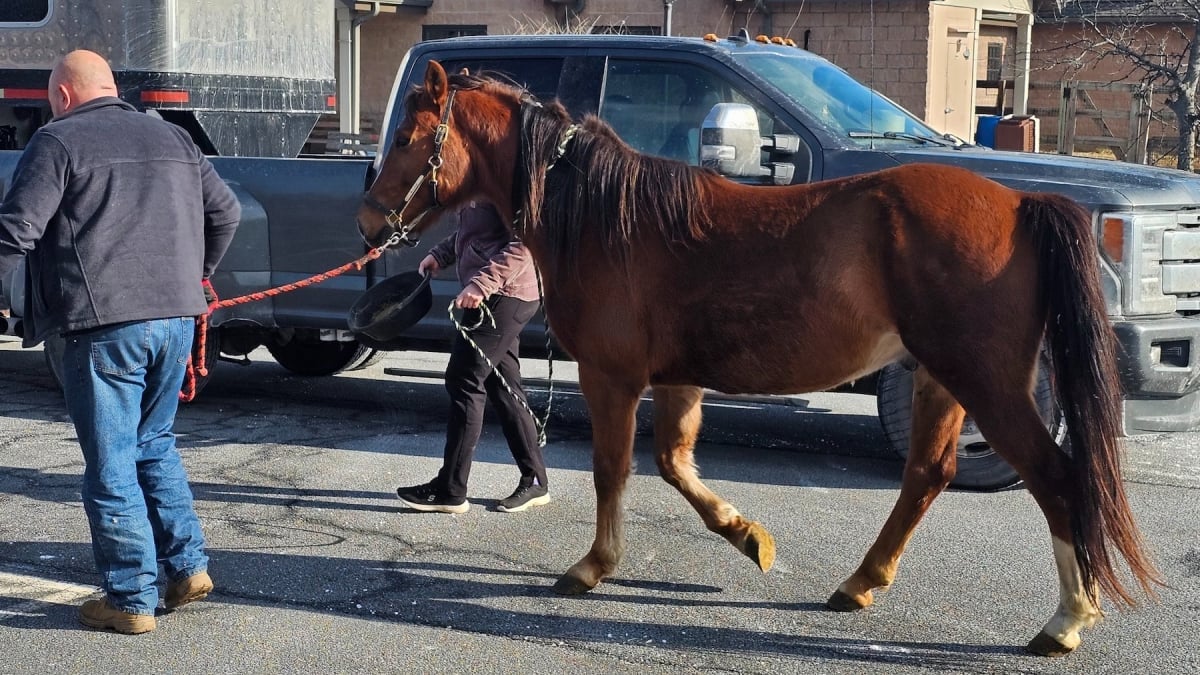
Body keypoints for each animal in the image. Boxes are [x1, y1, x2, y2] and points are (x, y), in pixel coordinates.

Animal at [357, 61, 1161, 653]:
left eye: (406, 137)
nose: (368, 220)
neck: (602, 216)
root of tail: (1020, 205)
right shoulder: (677, 379)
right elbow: (675, 464)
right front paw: (750, 539)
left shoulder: (612, 377)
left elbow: (614, 470)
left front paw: (593, 565)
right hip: (940, 379)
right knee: (928, 475)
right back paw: (861, 581)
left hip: (986, 382)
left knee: (1057, 478)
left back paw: (1067, 618)